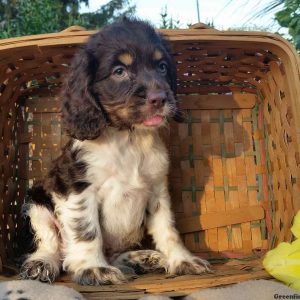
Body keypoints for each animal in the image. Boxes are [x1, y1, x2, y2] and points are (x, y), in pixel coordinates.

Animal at [20, 17, 211, 284]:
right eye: (119, 71)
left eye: (162, 67)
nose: (160, 98)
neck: (128, 138)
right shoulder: (77, 187)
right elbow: (87, 230)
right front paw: (93, 268)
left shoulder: (157, 189)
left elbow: (167, 228)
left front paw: (182, 260)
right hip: (37, 201)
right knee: (51, 245)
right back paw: (42, 263)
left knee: (114, 254)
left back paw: (140, 259)